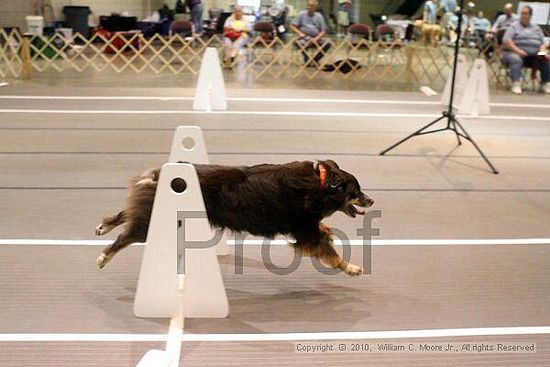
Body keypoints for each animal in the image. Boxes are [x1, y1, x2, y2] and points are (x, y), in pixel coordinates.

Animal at [96, 160, 376, 276]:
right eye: (356, 191)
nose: (371, 201)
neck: (319, 186)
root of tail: (157, 175)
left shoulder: (306, 227)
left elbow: (324, 231)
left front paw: (329, 230)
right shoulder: (304, 229)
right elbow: (332, 255)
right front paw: (352, 268)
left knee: (128, 213)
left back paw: (104, 225)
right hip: (156, 221)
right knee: (125, 236)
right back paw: (103, 256)